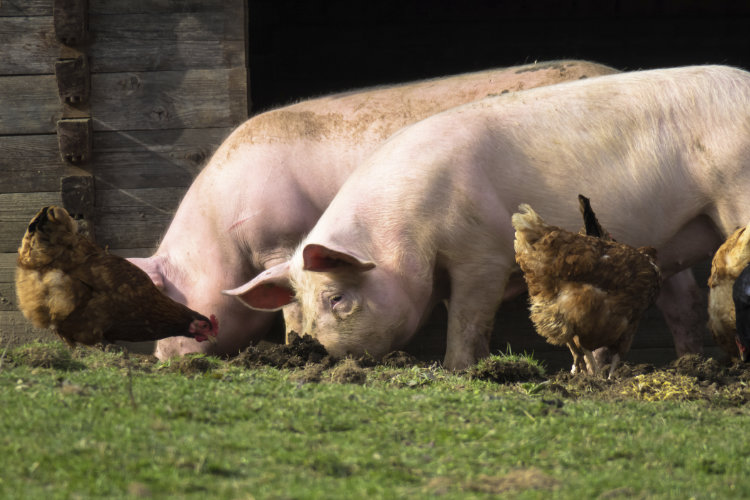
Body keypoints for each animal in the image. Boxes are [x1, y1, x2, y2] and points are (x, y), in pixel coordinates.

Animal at [131, 59, 624, 360]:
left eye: (170, 296)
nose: (161, 358)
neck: (222, 237)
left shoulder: (283, 241)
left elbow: (291, 305)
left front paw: (294, 345)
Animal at [234, 64, 748, 370]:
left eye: (337, 299)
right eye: (299, 304)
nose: (310, 355)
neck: (406, 230)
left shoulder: (482, 257)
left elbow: (468, 320)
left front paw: (458, 370)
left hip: (734, 192)